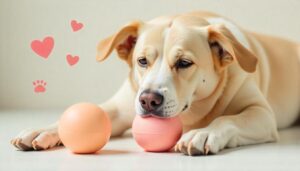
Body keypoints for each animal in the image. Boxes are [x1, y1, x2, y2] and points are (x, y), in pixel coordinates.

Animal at [10, 10, 298, 155]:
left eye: (184, 63)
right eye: (142, 61)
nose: (148, 100)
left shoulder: (261, 114)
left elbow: (228, 119)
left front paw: (204, 133)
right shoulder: (121, 106)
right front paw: (44, 130)